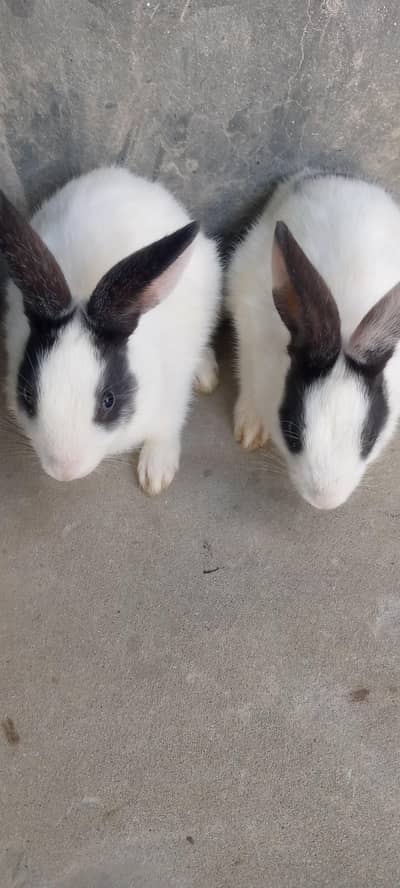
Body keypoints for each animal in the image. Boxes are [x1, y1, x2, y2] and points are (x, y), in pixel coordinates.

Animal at [1, 166, 222, 493]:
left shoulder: (173, 393)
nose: (65, 471)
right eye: (28, 394)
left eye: (109, 400)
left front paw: (156, 473)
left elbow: (165, 429)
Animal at [227, 170, 400, 510]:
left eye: (368, 439)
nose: (325, 501)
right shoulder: (248, 326)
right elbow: (246, 376)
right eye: (292, 431)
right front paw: (250, 428)